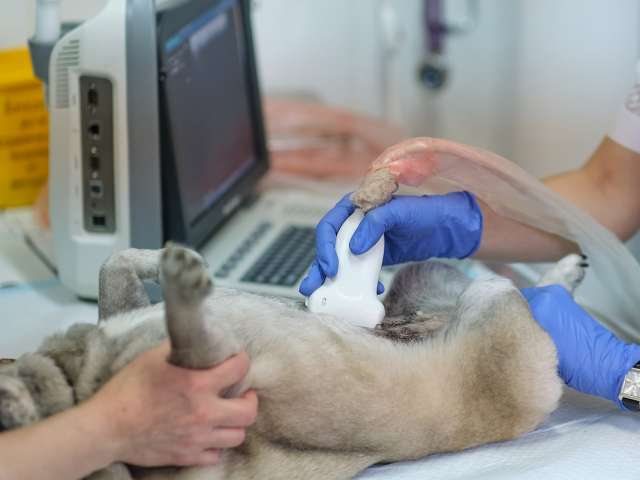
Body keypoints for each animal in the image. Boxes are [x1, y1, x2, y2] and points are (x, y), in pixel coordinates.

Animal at [0, 177, 584, 480]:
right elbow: (183, 326)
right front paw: (183, 281)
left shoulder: (122, 305)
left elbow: (114, 263)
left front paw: (167, 258)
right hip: (493, 306)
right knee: (518, 299)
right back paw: (559, 286)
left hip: (429, 282)